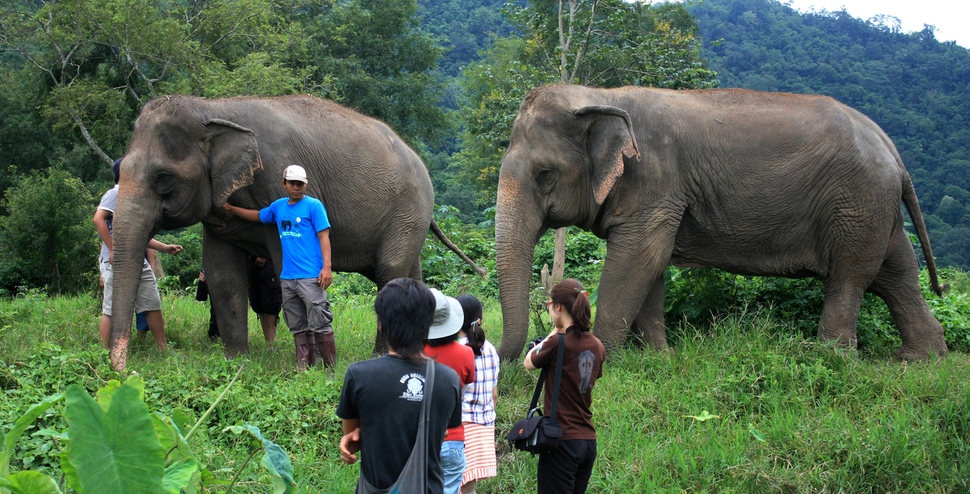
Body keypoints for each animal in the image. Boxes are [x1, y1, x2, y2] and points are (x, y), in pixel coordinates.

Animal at [108, 93, 480, 370]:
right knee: (407, 275)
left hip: (409, 209)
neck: (214, 108)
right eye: (119, 169)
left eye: (163, 178)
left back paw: (381, 356)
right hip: (408, 219)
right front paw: (236, 362)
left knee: (390, 272)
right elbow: (221, 276)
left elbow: (284, 267)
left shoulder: (275, 177)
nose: (124, 370)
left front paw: (309, 365)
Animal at [496, 84, 948, 362]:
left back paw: (830, 356)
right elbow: (651, 266)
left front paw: (599, 356)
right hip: (874, 208)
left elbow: (638, 258)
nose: (502, 353)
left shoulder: (655, 181)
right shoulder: (660, 196)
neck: (599, 95)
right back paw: (921, 358)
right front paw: (661, 357)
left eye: (545, 174)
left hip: (856, 202)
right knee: (897, 273)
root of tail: (892, 149)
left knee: (850, 277)